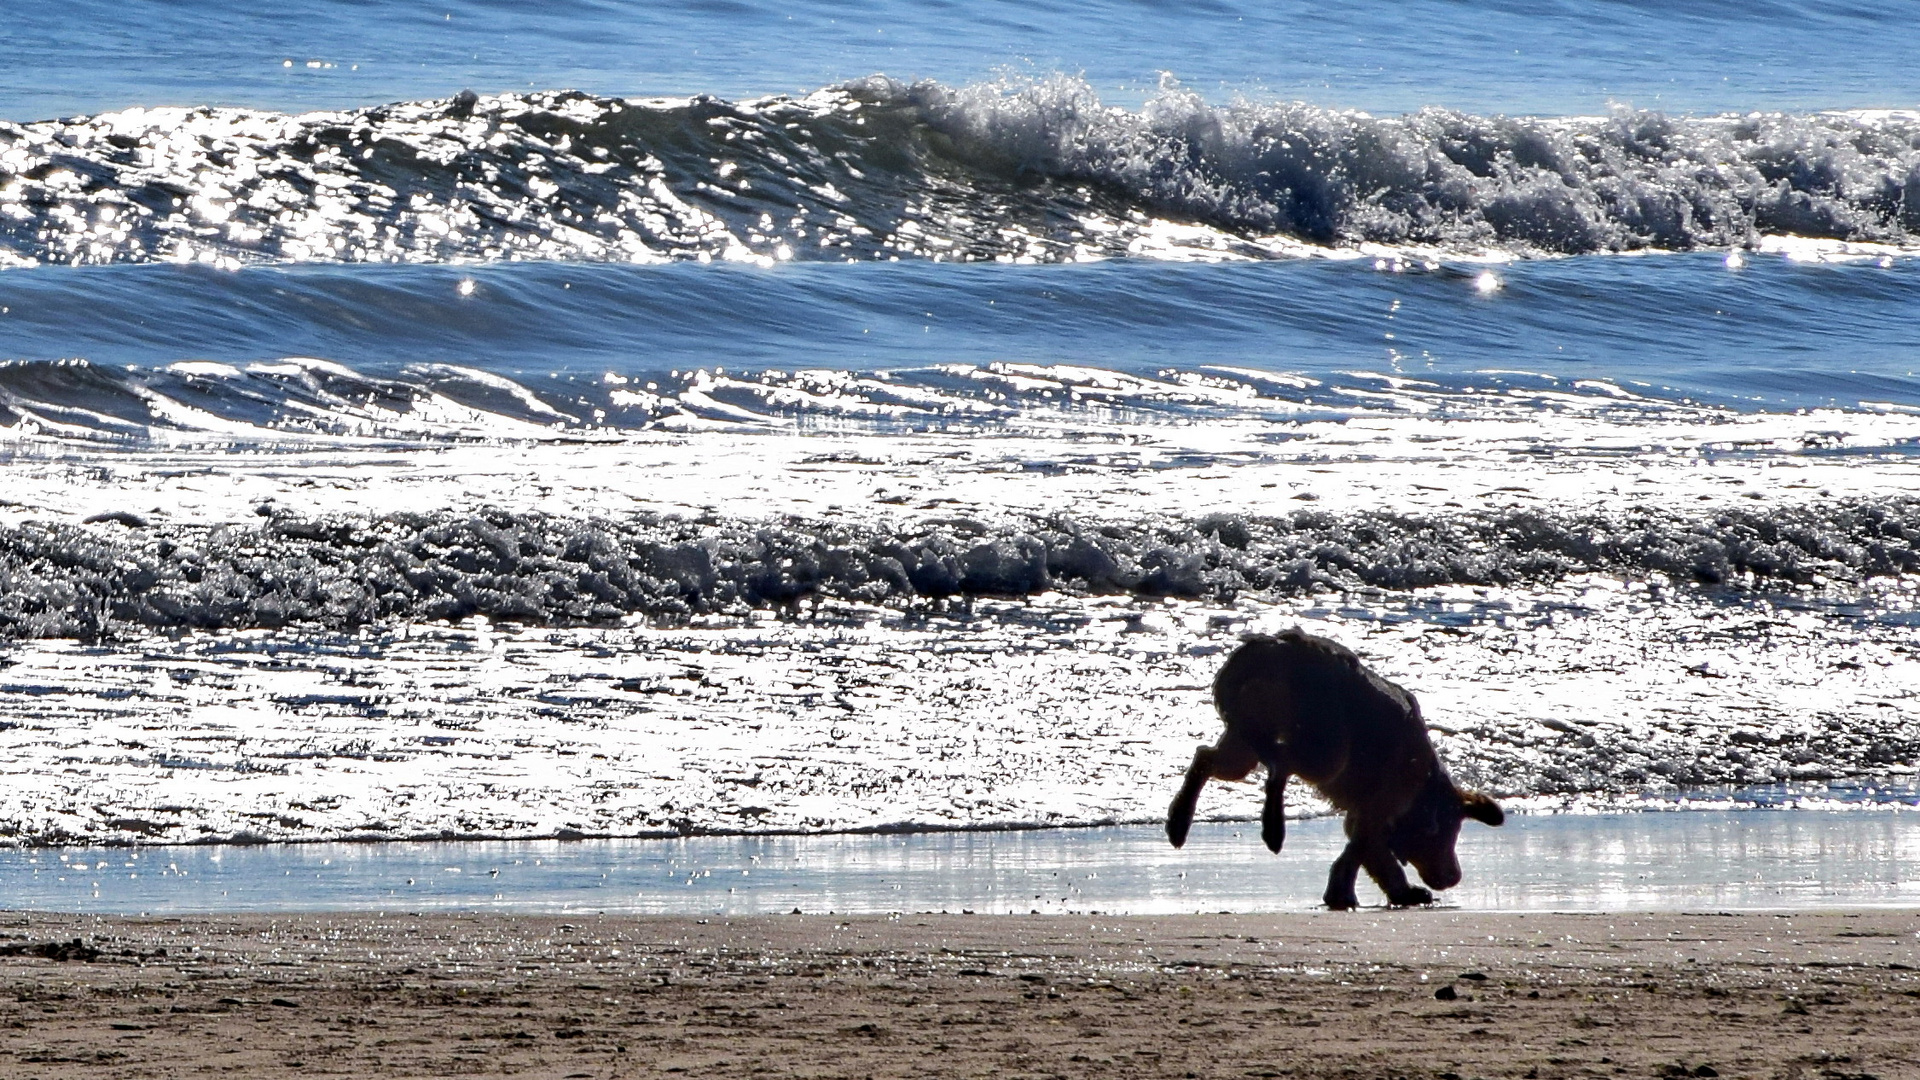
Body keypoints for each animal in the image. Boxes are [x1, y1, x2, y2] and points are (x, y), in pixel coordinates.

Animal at [1167, 622, 1497, 907]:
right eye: (1447, 837)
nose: (1455, 878)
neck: (1425, 782)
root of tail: (1275, 647)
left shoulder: (1365, 816)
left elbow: (1374, 857)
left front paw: (1395, 893)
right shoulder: (1376, 809)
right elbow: (1360, 853)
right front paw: (1348, 893)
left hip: (1245, 741)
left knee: (1206, 757)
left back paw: (1179, 821)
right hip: (1326, 752)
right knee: (1279, 765)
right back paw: (1273, 827)